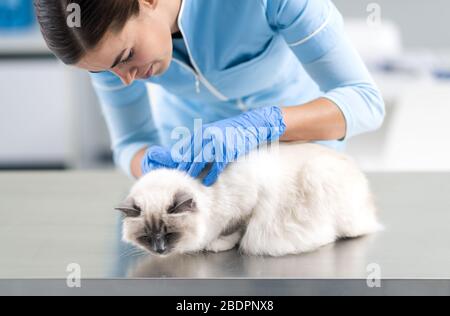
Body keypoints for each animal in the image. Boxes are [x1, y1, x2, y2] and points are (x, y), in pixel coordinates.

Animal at [115, 143, 380, 256]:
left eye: (169, 234)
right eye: (147, 237)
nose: (159, 250)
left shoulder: (249, 205)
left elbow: (235, 231)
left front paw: (217, 244)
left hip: (319, 175)